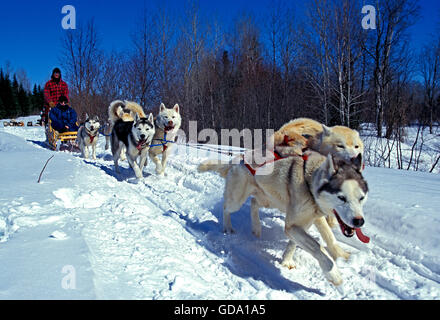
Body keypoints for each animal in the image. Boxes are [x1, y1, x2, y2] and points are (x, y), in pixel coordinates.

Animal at [198, 152, 366, 284]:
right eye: (341, 197)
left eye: (362, 198)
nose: (359, 221)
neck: (309, 183)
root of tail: (238, 160)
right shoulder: (293, 225)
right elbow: (316, 246)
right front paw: (333, 273)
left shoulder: (308, 220)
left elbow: (325, 237)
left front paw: (342, 256)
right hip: (237, 201)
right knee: (226, 208)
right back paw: (228, 228)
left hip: (269, 200)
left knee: (253, 203)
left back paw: (256, 228)